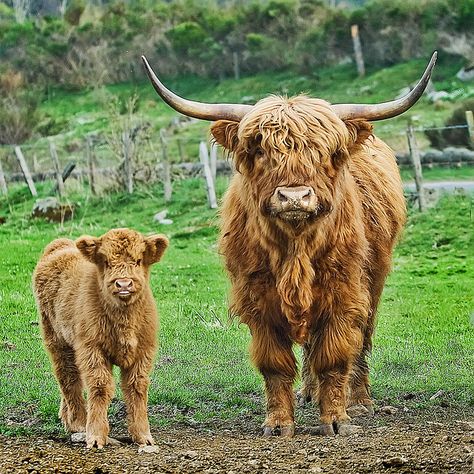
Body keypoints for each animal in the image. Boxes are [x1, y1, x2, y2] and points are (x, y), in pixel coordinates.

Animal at [32, 230, 168, 448]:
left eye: (138, 260)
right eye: (106, 261)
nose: (123, 284)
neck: (124, 321)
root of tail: (60, 245)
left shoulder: (144, 351)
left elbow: (136, 387)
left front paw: (143, 436)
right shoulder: (92, 349)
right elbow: (100, 386)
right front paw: (95, 436)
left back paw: (66, 418)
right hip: (57, 339)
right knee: (68, 378)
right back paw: (78, 422)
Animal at [142, 51, 436, 436]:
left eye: (327, 152)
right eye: (259, 149)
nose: (294, 197)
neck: (295, 248)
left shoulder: (343, 292)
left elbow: (335, 355)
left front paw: (337, 419)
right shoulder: (257, 298)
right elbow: (276, 363)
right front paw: (279, 423)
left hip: (374, 279)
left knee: (362, 340)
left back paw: (359, 401)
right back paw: (310, 393)